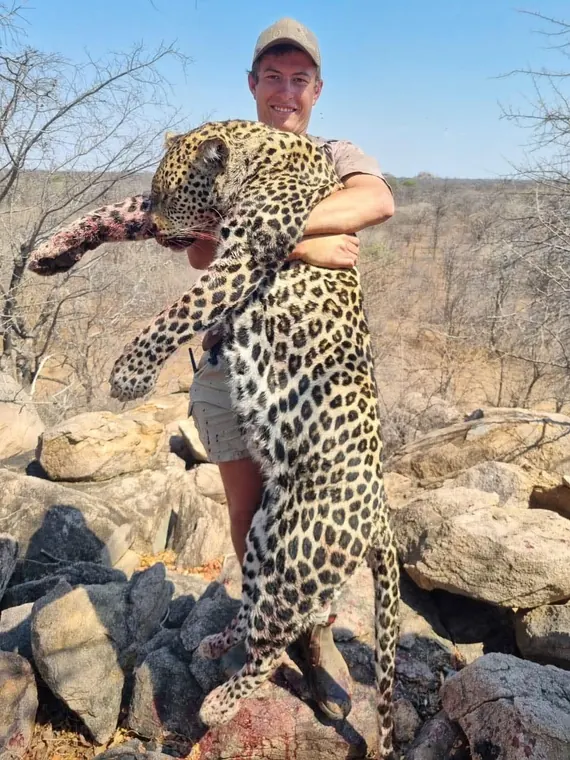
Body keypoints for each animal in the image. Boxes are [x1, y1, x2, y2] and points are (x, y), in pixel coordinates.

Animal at [29, 119, 400, 758]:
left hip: (296, 556)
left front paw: (129, 374)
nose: (158, 229)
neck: (264, 154)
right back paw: (213, 645)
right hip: (263, 537)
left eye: (173, 196)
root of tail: (379, 517)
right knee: (255, 613)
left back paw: (220, 703)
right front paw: (52, 251)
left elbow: (176, 314)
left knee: (276, 639)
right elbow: (112, 211)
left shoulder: (244, 257)